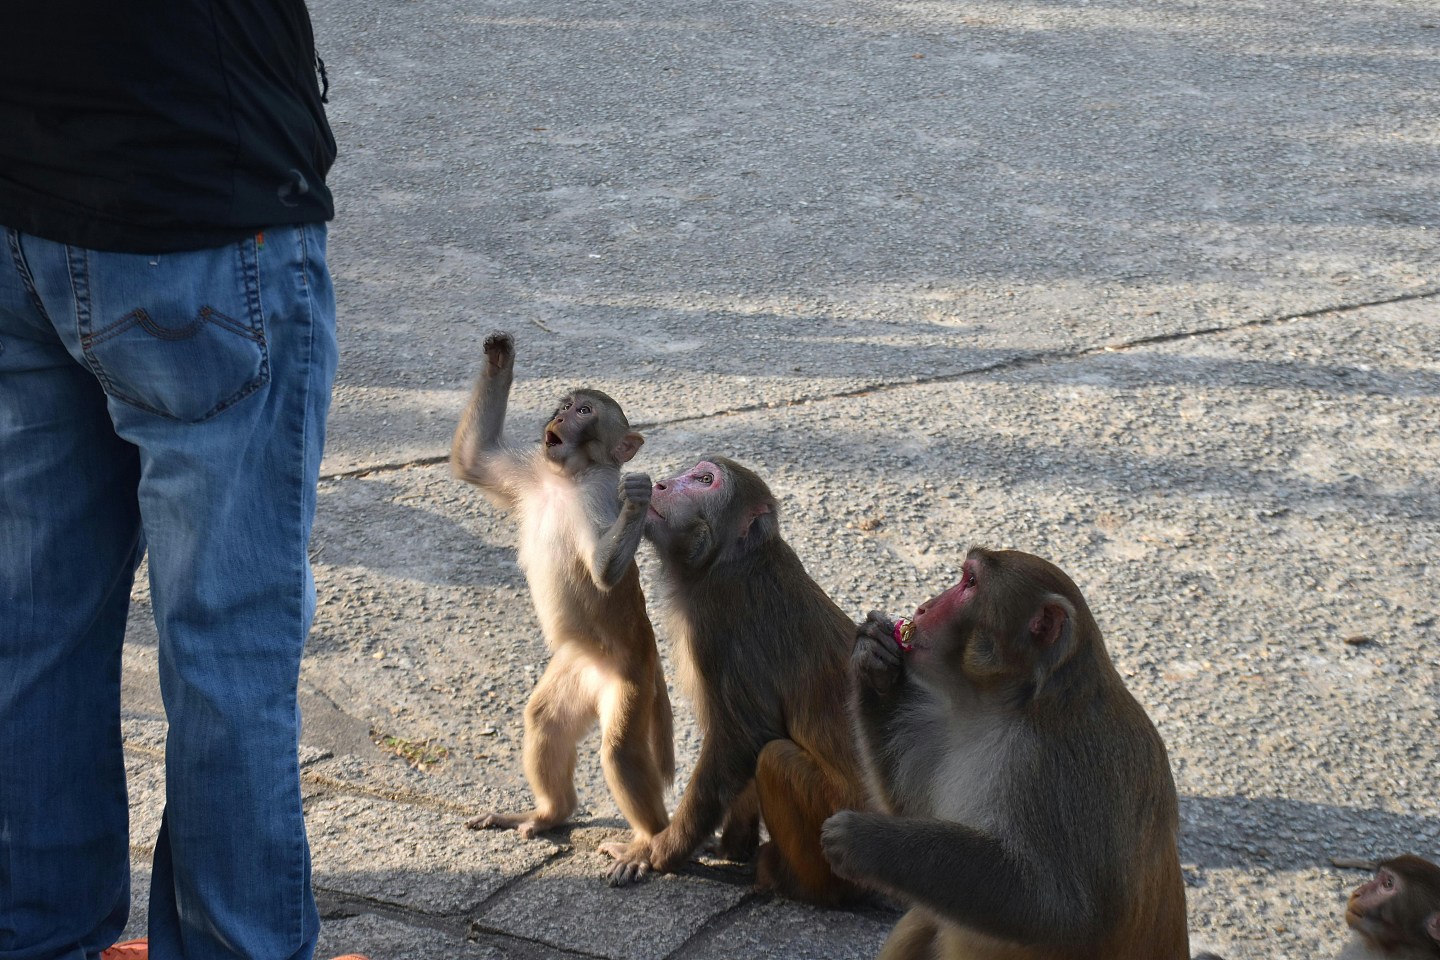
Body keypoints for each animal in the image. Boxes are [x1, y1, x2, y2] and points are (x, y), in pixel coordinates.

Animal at [452, 332, 671, 846]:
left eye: (585, 411)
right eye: (568, 405)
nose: (560, 415)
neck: (567, 481)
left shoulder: (596, 500)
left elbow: (604, 573)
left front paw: (639, 498)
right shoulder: (532, 475)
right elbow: (472, 461)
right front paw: (500, 357)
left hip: (632, 683)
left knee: (619, 750)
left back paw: (652, 842)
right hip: (577, 669)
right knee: (546, 720)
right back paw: (551, 814)